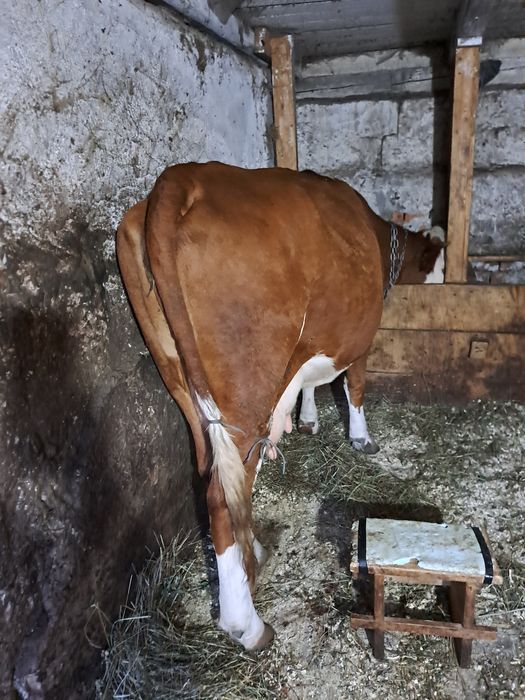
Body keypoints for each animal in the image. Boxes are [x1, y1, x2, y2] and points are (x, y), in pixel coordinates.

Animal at [116, 161, 445, 651]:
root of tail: (181, 178)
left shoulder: (309, 346)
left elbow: (308, 384)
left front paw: (306, 420)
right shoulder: (359, 339)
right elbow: (355, 386)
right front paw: (362, 439)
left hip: (181, 381)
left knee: (218, 479)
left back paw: (250, 552)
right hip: (244, 388)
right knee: (222, 496)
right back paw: (246, 625)